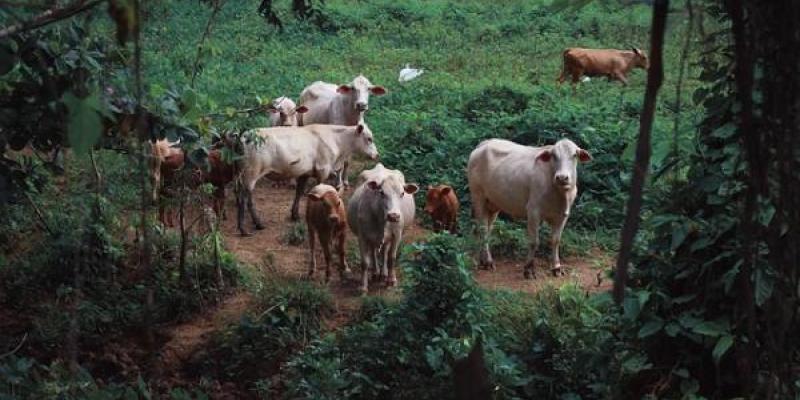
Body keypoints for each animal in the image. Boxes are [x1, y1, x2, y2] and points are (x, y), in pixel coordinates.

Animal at [237, 123, 379, 236]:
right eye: (369, 139)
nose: (377, 155)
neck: (336, 141)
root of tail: (244, 135)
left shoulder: (304, 173)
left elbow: (299, 192)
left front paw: (295, 215)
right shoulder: (323, 170)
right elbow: (320, 191)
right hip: (251, 173)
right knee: (245, 200)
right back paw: (251, 226)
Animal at [348, 163, 418, 294]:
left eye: (402, 193)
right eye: (382, 193)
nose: (394, 215)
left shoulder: (397, 235)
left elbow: (392, 258)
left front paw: (391, 280)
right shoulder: (362, 236)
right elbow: (365, 262)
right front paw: (363, 286)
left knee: (384, 252)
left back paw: (384, 274)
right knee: (374, 252)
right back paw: (376, 272)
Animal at [467, 138, 592, 279]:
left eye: (574, 155)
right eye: (554, 156)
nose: (562, 177)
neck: (559, 193)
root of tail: (484, 144)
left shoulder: (562, 216)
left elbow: (555, 240)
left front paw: (556, 268)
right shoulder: (533, 211)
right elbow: (534, 241)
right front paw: (529, 269)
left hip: (493, 204)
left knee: (487, 230)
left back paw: (483, 260)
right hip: (478, 197)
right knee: (483, 229)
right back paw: (488, 262)